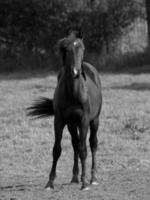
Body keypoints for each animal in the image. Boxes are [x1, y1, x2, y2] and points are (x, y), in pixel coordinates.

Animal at [26, 30, 102, 191]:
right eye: (66, 49)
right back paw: (75, 177)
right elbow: (57, 150)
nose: (76, 72)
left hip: (94, 120)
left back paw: (93, 178)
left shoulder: (84, 121)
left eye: (82, 48)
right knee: (75, 144)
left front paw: (85, 184)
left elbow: (84, 150)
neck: (73, 92)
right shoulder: (60, 121)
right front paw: (50, 182)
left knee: (92, 144)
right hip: (72, 125)